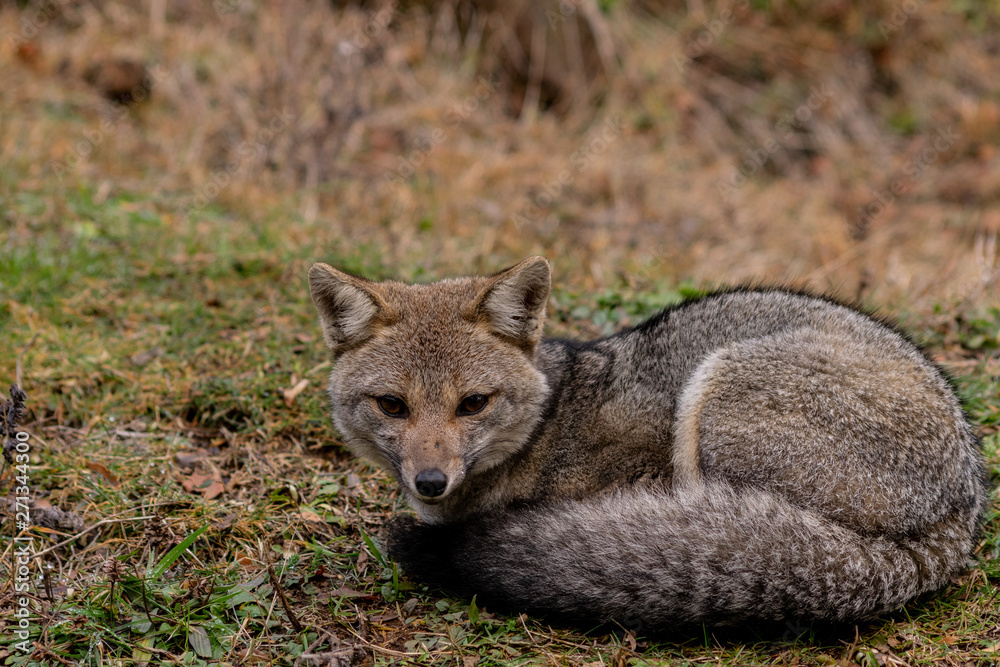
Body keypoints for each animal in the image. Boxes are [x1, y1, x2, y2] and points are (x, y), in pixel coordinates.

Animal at [307, 256, 986, 629]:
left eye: (472, 403)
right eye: (392, 405)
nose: (430, 483)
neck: (551, 420)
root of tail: (962, 504)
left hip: (714, 396)